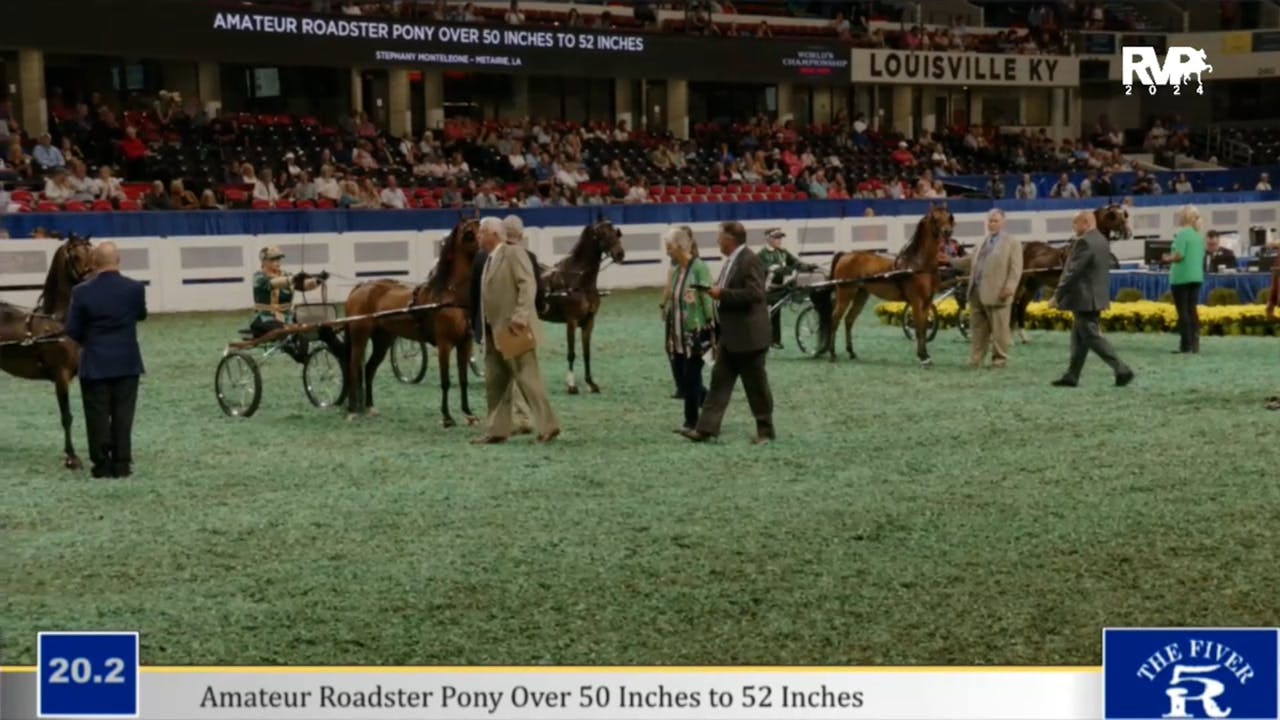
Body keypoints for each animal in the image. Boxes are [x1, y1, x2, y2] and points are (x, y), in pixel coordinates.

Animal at [0, 233, 94, 468]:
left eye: (93, 252)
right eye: (75, 255)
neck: (57, 322)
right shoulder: (61, 376)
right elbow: (67, 416)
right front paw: (71, 457)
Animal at [340, 215, 481, 422]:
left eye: (482, 226)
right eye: (469, 233)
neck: (451, 296)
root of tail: (361, 287)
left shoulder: (465, 343)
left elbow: (463, 380)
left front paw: (469, 414)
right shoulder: (445, 344)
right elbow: (445, 381)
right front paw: (447, 417)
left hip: (382, 340)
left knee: (369, 368)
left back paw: (370, 407)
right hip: (360, 336)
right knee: (353, 368)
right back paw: (352, 411)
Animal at [535, 217, 624, 392]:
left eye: (615, 231)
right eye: (602, 233)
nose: (620, 253)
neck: (579, 282)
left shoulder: (589, 322)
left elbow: (586, 352)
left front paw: (591, 383)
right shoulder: (571, 321)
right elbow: (571, 353)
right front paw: (571, 384)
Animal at [824, 206, 957, 363]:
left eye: (949, 216)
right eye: (935, 218)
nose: (947, 231)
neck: (919, 265)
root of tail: (846, 255)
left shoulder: (927, 301)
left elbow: (924, 328)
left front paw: (926, 355)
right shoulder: (917, 301)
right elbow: (918, 328)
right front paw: (922, 357)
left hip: (861, 295)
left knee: (849, 319)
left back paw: (851, 352)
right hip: (845, 293)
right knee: (835, 319)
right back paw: (832, 353)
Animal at [1008, 198, 1131, 338]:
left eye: (1124, 214)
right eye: (1113, 216)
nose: (1128, 232)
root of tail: (1024, 246)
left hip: (1033, 284)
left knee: (1021, 305)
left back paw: (1023, 336)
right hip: (1020, 281)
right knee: (1013, 303)